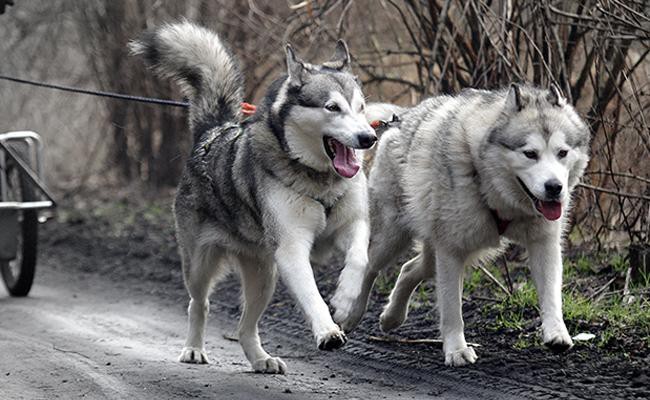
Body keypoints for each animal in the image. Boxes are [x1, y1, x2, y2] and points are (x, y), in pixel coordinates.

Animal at [130, 21, 374, 374]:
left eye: (361, 107)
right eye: (332, 107)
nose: (369, 138)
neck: (319, 180)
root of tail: (212, 131)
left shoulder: (353, 226)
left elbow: (359, 259)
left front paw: (345, 304)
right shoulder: (291, 249)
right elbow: (312, 294)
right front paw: (328, 330)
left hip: (263, 277)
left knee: (246, 327)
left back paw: (261, 359)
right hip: (200, 266)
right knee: (199, 304)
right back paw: (193, 348)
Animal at [332, 83, 588, 366]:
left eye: (562, 153)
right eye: (530, 154)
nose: (554, 188)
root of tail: (404, 117)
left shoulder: (544, 243)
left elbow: (552, 294)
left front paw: (556, 333)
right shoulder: (451, 252)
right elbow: (452, 308)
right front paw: (456, 350)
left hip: (442, 251)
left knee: (410, 269)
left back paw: (392, 317)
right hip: (393, 239)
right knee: (369, 266)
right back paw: (351, 312)